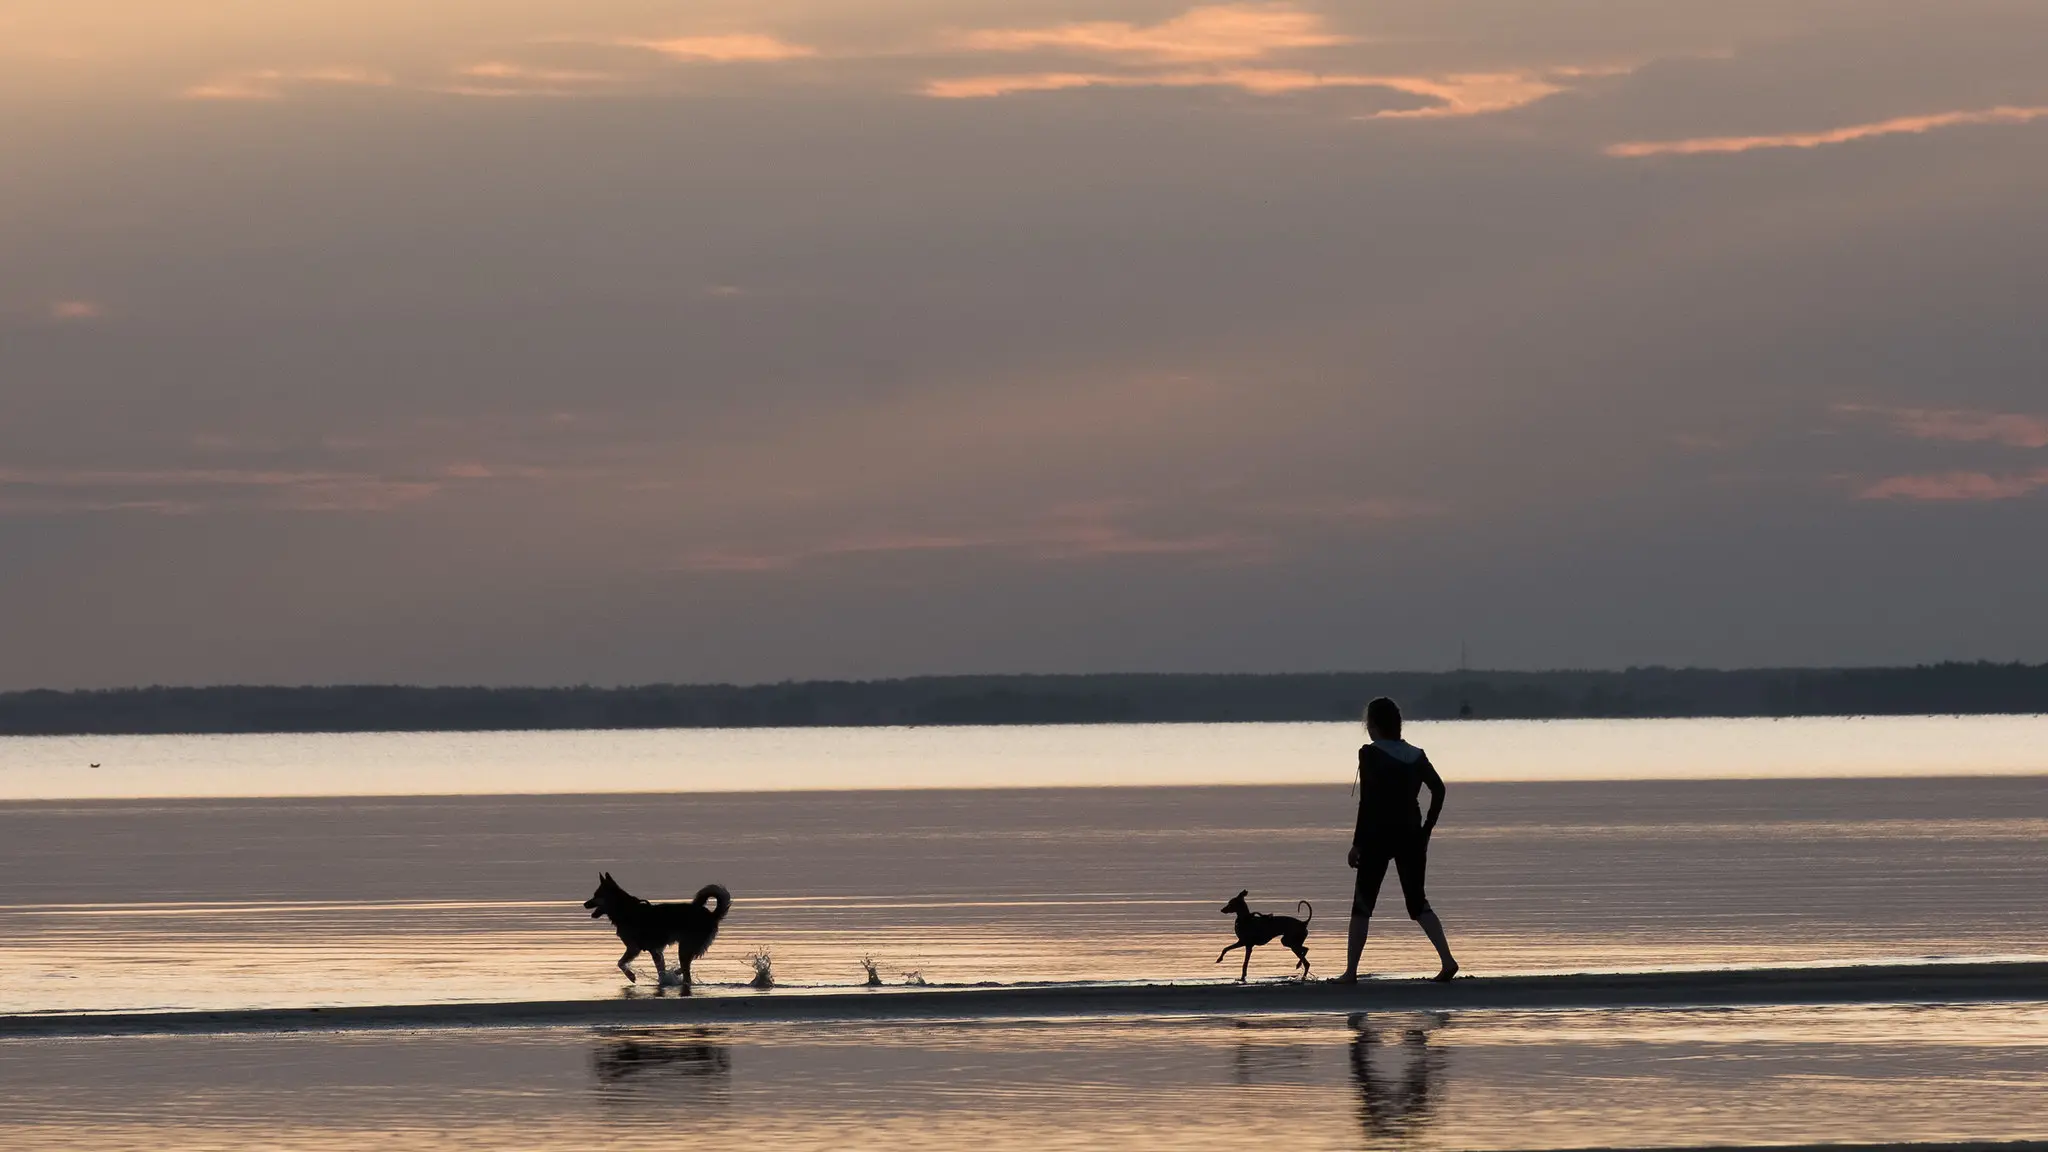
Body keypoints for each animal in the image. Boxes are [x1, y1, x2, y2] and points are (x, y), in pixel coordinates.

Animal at [581, 869, 733, 988]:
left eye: (596, 895)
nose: (584, 904)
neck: (624, 909)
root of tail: (711, 915)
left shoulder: (634, 948)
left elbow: (620, 963)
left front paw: (631, 976)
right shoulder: (656, 950)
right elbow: (660, 969)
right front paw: (663, 980)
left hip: (685, 947)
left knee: (687, 972)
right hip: (691, 946)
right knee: (688, 964)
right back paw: (676, 972)